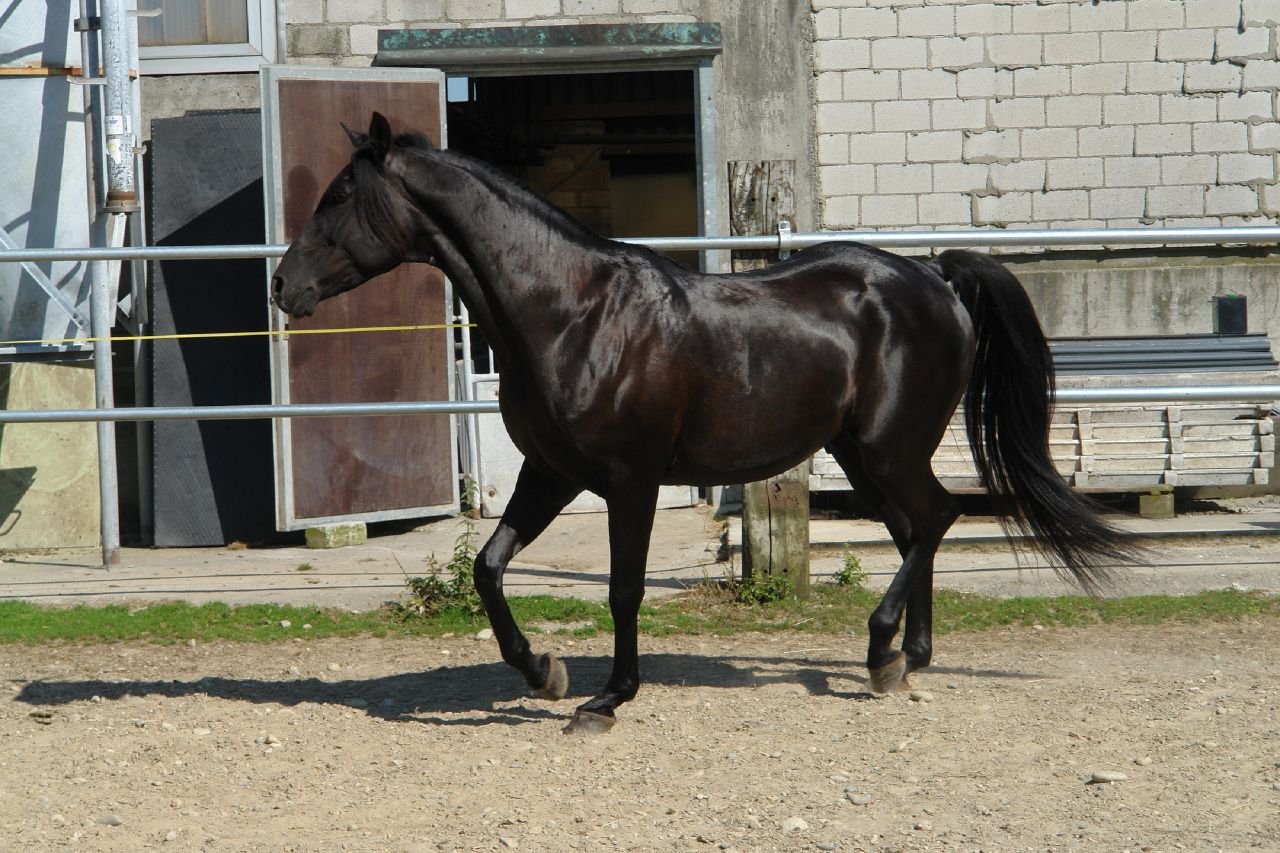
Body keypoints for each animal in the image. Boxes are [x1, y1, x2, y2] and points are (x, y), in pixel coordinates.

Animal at [271, 112, 1134, 734]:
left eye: (341, 196)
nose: (283, 285)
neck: (572, 311)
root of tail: (936, 277)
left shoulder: (632, 480)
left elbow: (623, 588)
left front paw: (607, 699)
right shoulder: (551, 473)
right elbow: (489, 565)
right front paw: (544, 672)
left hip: (888, 449)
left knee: (936, 517)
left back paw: (884, 647)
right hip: (862, 455)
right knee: (916, 527)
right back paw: (902, 658)